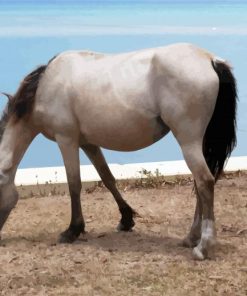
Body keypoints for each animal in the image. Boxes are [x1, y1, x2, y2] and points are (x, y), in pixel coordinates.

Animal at [0, 43, 237, 260]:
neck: (45, 85)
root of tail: (210, 59)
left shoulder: (66, 140)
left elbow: (74, 184)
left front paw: (72, 230)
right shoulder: (88, 144)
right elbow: (107, 178)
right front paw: (126, 219)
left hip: (188, 141)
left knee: (205, 182)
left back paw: (203, 246)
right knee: (200, 184)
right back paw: (191, 238)